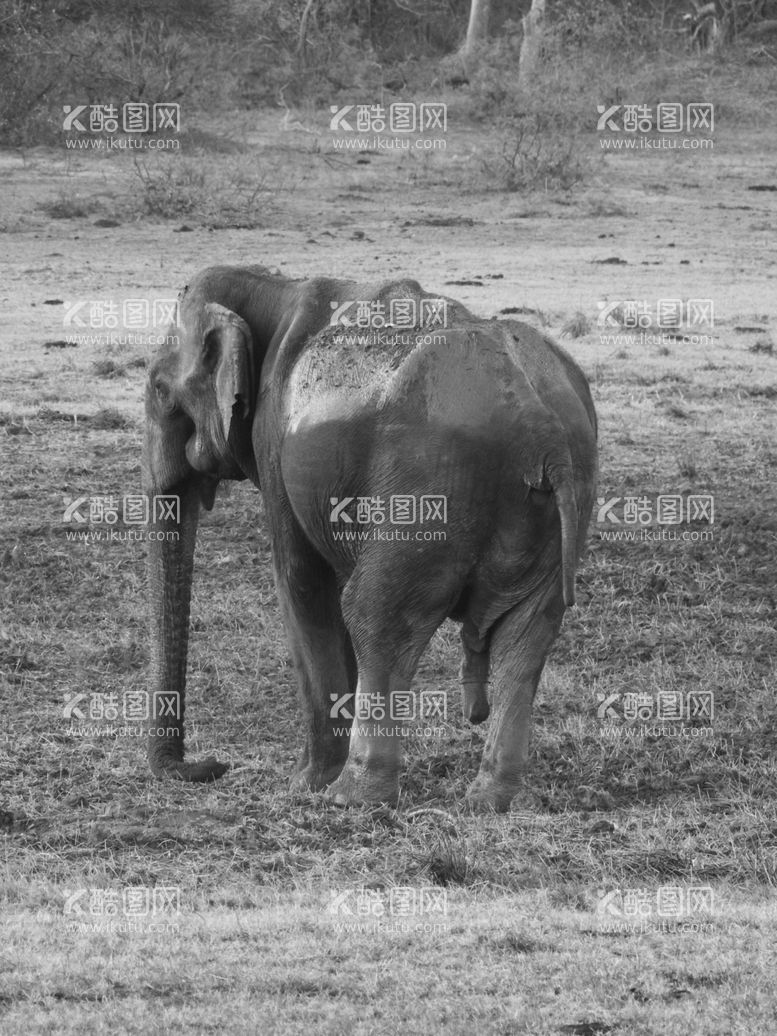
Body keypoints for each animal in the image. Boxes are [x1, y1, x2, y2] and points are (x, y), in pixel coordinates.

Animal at [142, 265, 600, 808]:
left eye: (158, 389)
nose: (212, 766)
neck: (272, 286)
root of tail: (540, 422)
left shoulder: (273, 442)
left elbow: (303, 585)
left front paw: (306, 785)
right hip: (563, 493)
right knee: (526, 634)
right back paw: (488, 800)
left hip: (427, 485)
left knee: (375, 615)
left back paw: (354, 795)